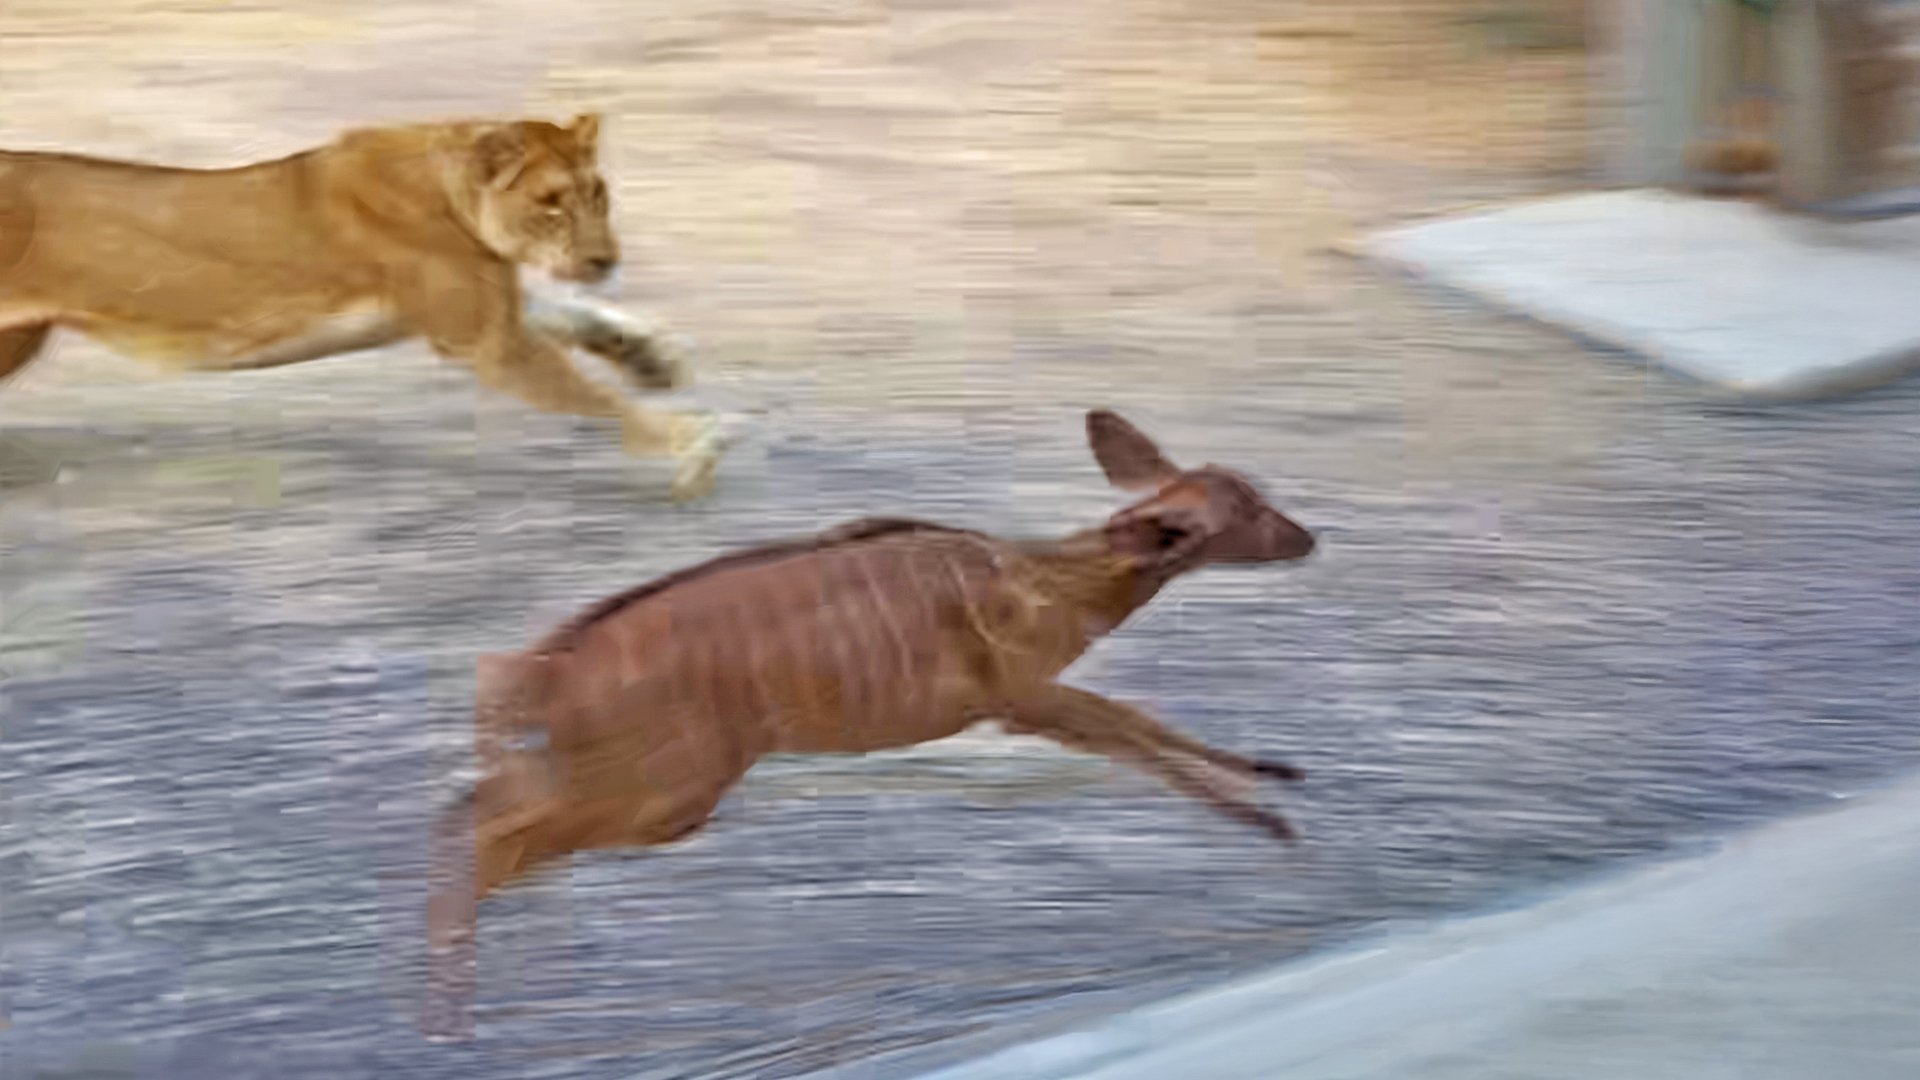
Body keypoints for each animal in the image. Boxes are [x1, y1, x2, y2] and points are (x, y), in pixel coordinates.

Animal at [0, 113, 727, 500]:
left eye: (598, 193)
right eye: (551, 203)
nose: (605, 261)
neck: (453, 191)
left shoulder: (484, 310)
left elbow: (572, 316)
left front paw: (651, 360)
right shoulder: (484, 340)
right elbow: (598, 399)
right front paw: (695, 445)